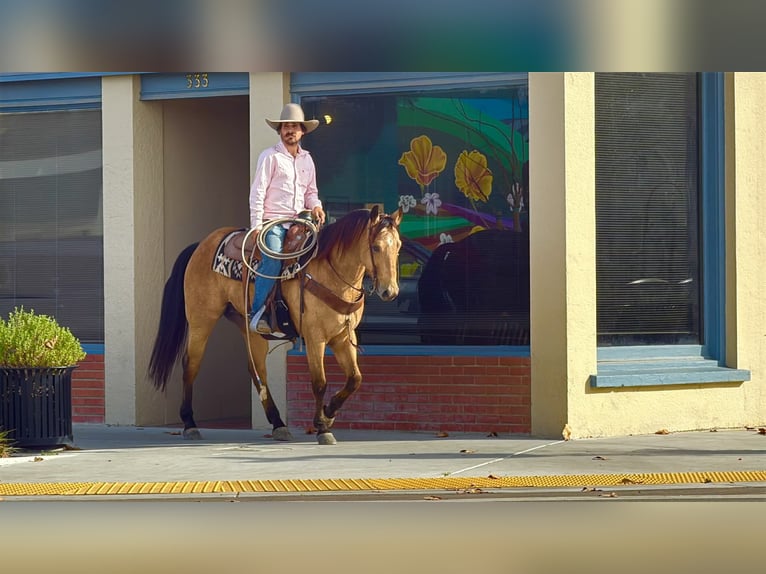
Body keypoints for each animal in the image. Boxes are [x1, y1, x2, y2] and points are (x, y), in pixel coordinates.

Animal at [147, 205, 403, 445]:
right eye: (376, 247)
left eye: (398, 246)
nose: (390, 291)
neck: (331, 272)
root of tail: (200, 245)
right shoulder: (315, 337)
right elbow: (319, 383)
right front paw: (322, 427)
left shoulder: (342, 337)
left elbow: (355, 379)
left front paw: (329, 414)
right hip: (202, 319)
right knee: (191, 365)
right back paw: (190, 424)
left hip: (247, 327)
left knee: (256, 370)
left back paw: (278, 423)